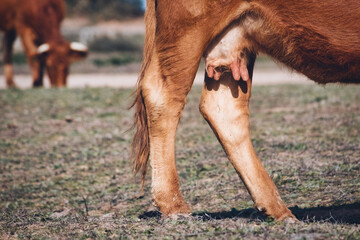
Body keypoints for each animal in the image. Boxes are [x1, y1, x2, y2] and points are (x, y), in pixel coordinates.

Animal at [132, 0, 360, 221]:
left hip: (232, 43)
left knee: (223, 107)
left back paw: (277, 210)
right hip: (188, 27)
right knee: (164, 95)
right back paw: (175, 206)